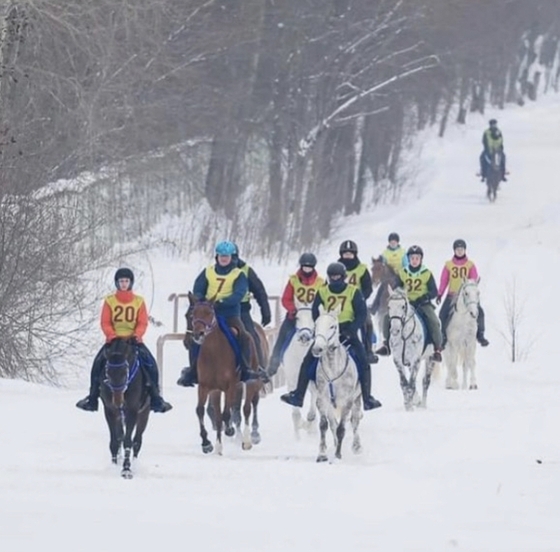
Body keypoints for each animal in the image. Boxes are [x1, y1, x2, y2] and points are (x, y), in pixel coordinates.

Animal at [99, 336, 150, 478]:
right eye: (107, 372)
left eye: (124, 372)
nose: (117, 401)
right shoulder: (110, 411)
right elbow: (115, 441)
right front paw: (114, 466)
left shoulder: (132, 411)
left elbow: (129, 441)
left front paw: (126, 469)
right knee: (120, 436)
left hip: (144, 414)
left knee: (137, 441)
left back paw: (135, 463)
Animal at [190, 294, 262, 452]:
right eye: (193, 314)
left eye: (209, 313)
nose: (199, 334)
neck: (214, 353)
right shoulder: (206, 387)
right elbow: (200, 410)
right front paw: (207, 443)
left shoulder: (231, 385)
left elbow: (227, 413)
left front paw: (229, 430)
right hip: (218, 391)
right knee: (220, 414)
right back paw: (219, 445)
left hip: (250, 382)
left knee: (247, 408)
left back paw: (247, 440)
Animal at [278, 302, 318, 436]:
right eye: (297, 317)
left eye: (314, 318)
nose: (304, 337)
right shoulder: (292, 382)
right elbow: (295, 413)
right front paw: (299, 432)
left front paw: (310, 422)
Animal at [312, 306, 360, 462]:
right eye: (316, 324)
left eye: (332, 326)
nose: (317, 349)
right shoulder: (322, 399)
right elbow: (324, 425)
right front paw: (322, 454)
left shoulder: (347, 402)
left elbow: (341, 428)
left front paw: (338, 455)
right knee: (333, 423)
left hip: (357, 400)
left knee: (355, 421)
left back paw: (357, 446)